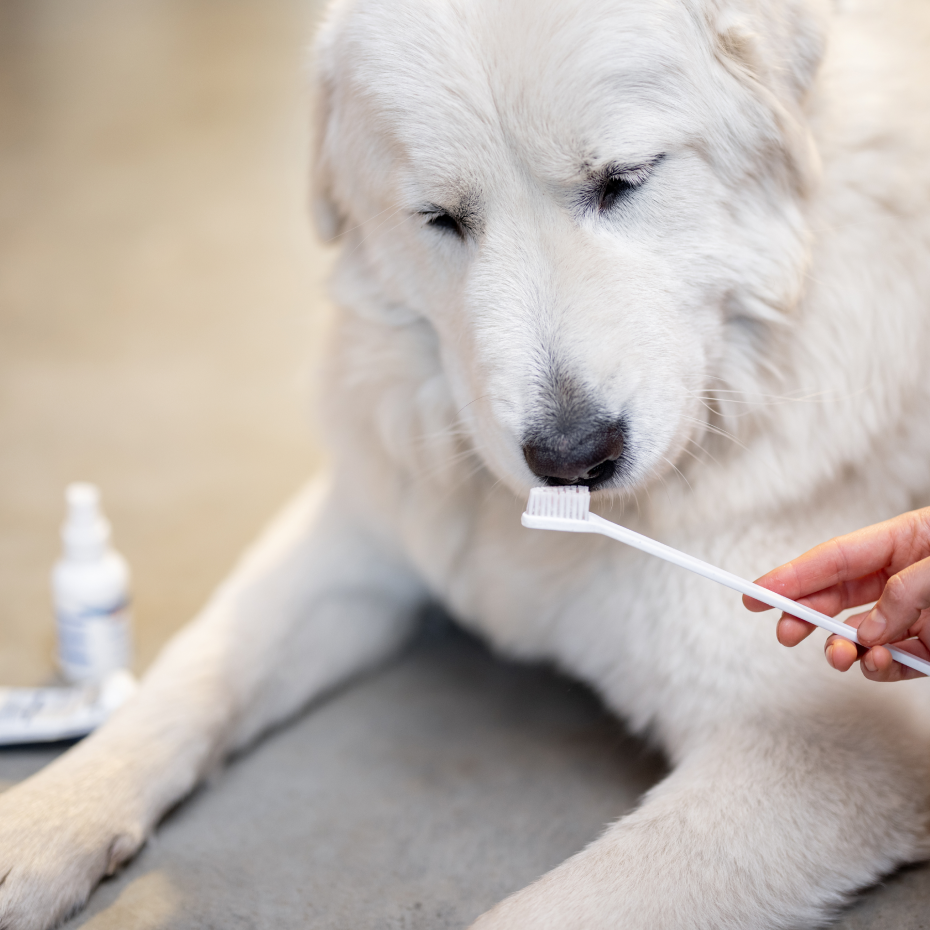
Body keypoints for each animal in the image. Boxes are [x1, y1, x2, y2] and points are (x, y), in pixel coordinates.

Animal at [1, 0, 928, 924]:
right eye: (442, 217)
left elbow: (544, 908)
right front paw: (39, 824)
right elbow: (190, 675)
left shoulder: (815, 740)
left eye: (623, 179)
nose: (571, 458)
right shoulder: (355, 540)